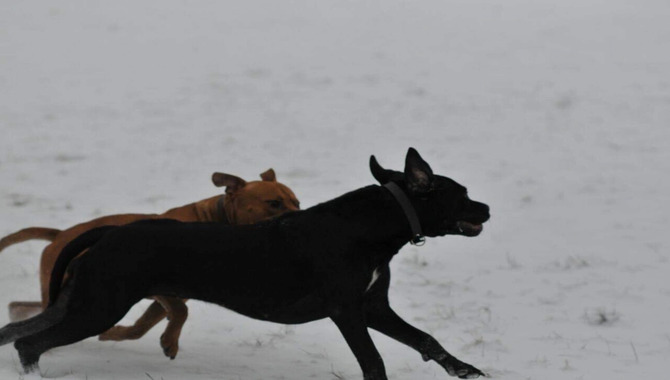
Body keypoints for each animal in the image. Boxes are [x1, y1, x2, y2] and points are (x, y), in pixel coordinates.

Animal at [0, 169, 300, 360]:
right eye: (273, 203)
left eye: (297, 202)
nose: (300, 219)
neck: (217, 219)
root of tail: (59, 234)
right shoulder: (160, 289)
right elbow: (178, 312)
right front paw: (168, 342)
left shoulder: (167, 295)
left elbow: (145, 324)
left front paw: (139, 337)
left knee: (22, 307)